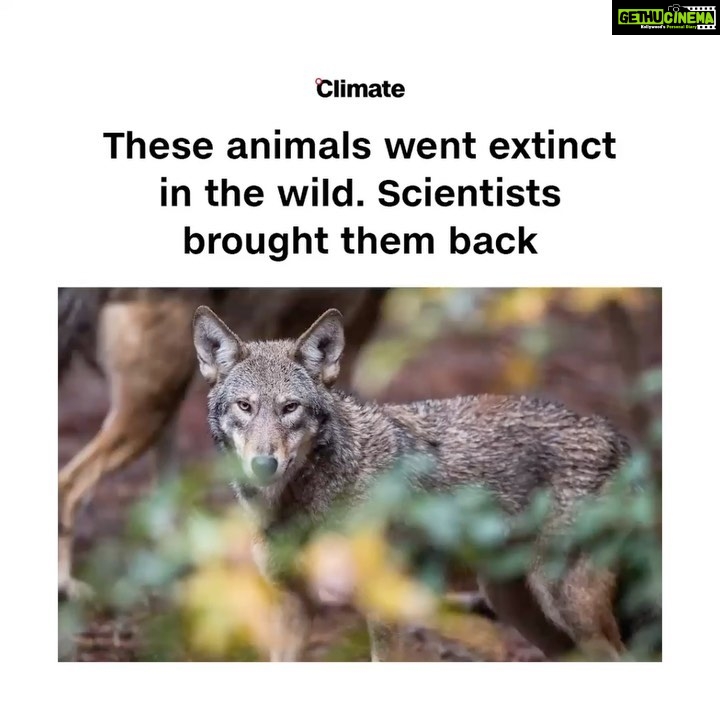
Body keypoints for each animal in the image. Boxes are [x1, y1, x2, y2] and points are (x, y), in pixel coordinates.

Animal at [58, 288, 387, 600]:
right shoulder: (357, 330)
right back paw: (67, 584)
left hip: (163, 406)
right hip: (152, 406)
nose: (264, 466)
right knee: (68, 486)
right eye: (244, 406)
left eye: (290, 407)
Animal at [193, 304, 635, 662]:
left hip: (567, 605)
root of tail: (611, 432)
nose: (263, 465)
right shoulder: (291, 606)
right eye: (245, 407)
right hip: (516, 606)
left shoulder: (383, 606)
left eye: (290, 408)